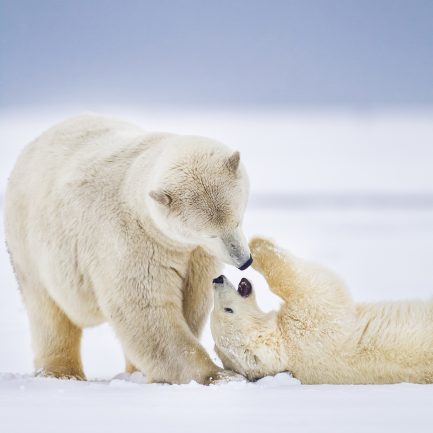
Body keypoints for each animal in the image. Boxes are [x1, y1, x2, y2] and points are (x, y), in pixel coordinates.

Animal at [5, 113, 251, 384]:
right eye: (210, 233)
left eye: (237, 220)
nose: (244, 261)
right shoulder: (131, 242)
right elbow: (146, 312)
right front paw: (219, 375)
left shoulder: (194, 254)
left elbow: (193, 299)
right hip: (29, 244)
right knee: (48, 310)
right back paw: (62, 372)